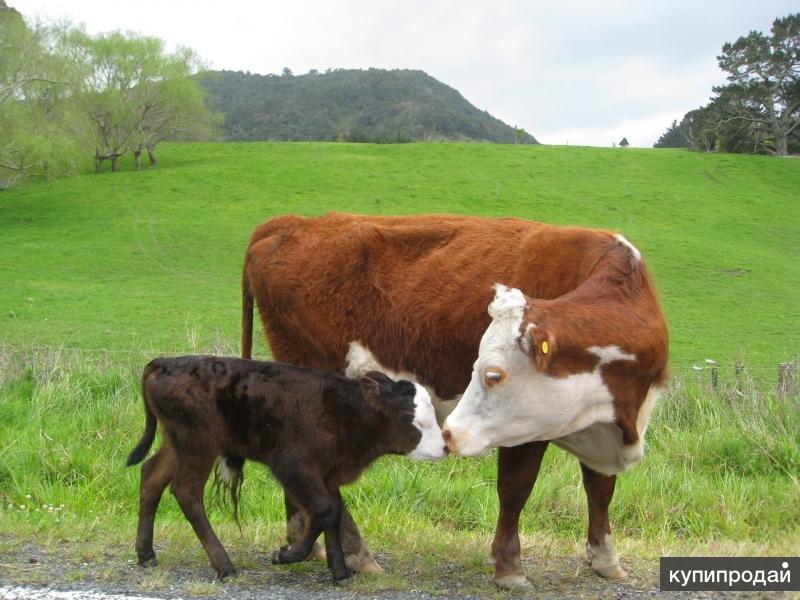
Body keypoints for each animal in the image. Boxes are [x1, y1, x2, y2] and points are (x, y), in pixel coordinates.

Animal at [241, 213, 664, 588]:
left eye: (493, 374)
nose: (448, 434)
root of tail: (292, 222)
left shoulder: (602, 421)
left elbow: (600, 489)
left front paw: (606, 559)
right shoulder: (524, 427)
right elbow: (516, 489)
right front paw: (510, 568)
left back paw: (304, 541)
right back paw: (358, 555)